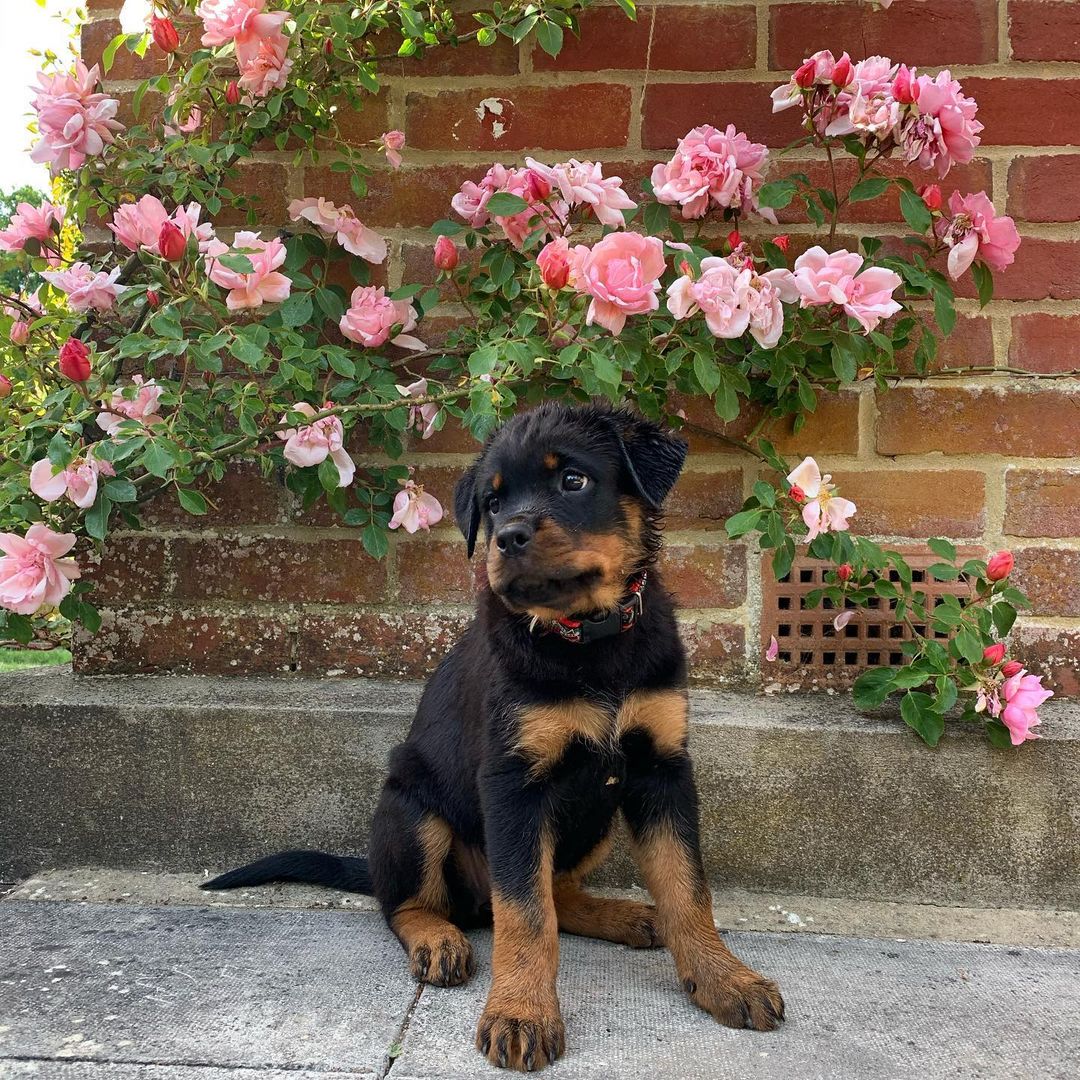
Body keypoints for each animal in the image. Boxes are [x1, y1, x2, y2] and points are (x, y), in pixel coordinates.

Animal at [206, 403, 786, 1071]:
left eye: (573, 481)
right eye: (492, 502)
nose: (507, 537)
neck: (589, 643)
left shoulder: (660, 770)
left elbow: (686, 888)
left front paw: (726, 980)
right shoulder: (513, 784)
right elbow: (526, 914)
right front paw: (521, 1014)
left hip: (597, 815)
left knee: (560, 889)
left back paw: (622, 916)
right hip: (412, 812)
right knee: (409, 903)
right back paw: (438, 940)